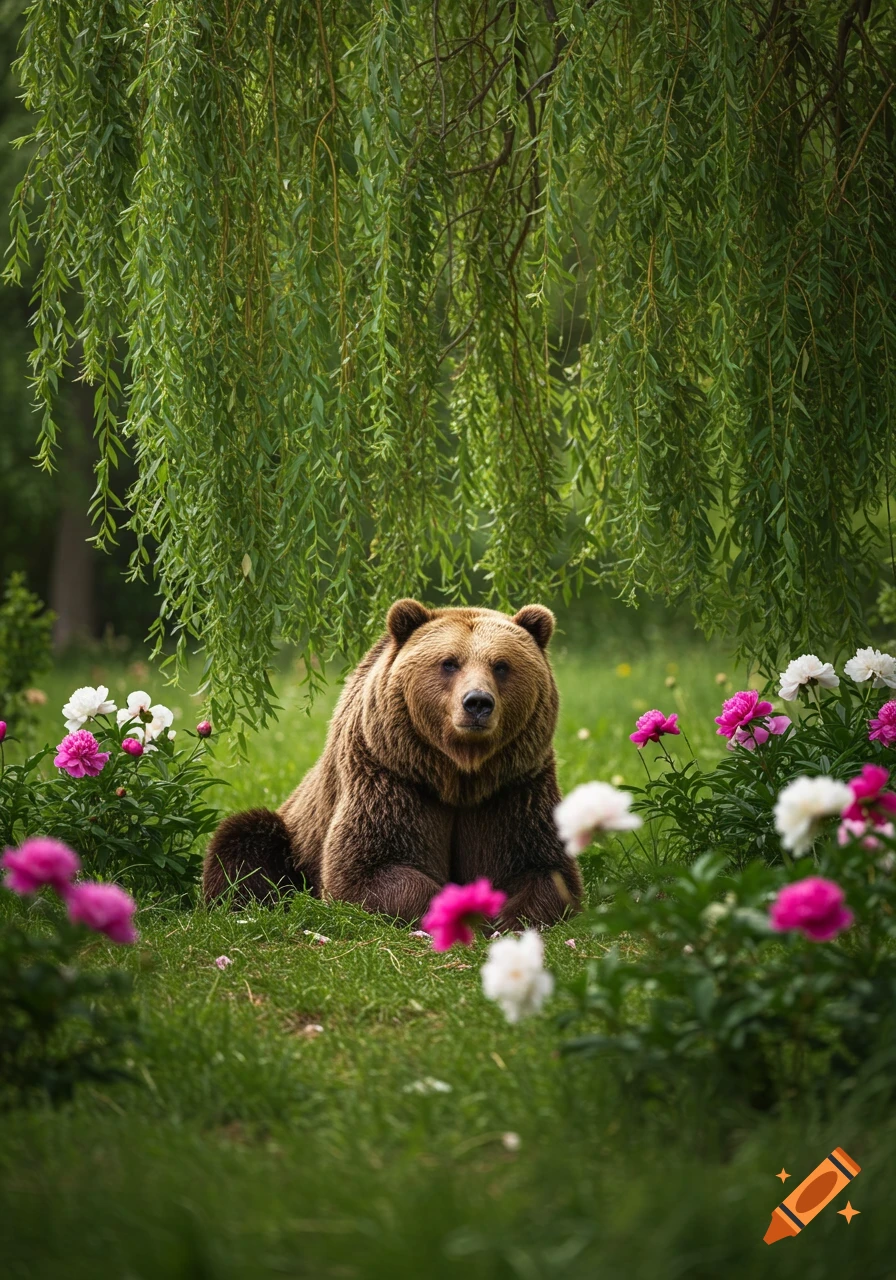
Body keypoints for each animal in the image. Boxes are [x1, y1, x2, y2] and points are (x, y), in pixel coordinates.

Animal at [202, 599, 582, 930]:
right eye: (449, 662)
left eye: (501, 665)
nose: (477, 702)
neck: (458, 774)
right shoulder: (390, 776)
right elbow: (368, 870)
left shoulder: (514, 787)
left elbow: (544, 869)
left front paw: (509, 918)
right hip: (294, 834)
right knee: (244, 839)